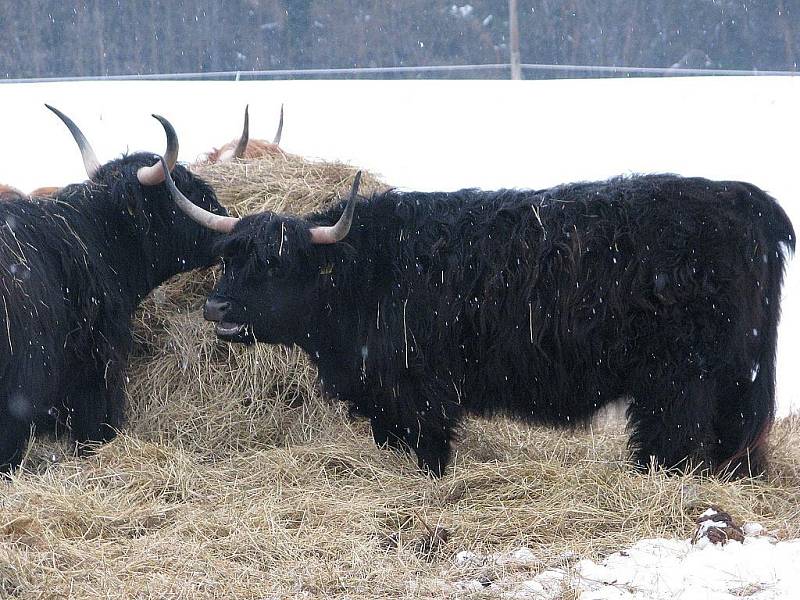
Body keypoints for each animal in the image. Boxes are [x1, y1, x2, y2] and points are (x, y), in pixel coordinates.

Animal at [162, 165, 792, 478]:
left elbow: (426, 450)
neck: (367, 274)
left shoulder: (416, 392)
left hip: (684, 374)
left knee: (677, 436)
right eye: (228, 259)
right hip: (733, 374)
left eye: (273, 263)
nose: (216, 309)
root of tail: (746, 201)